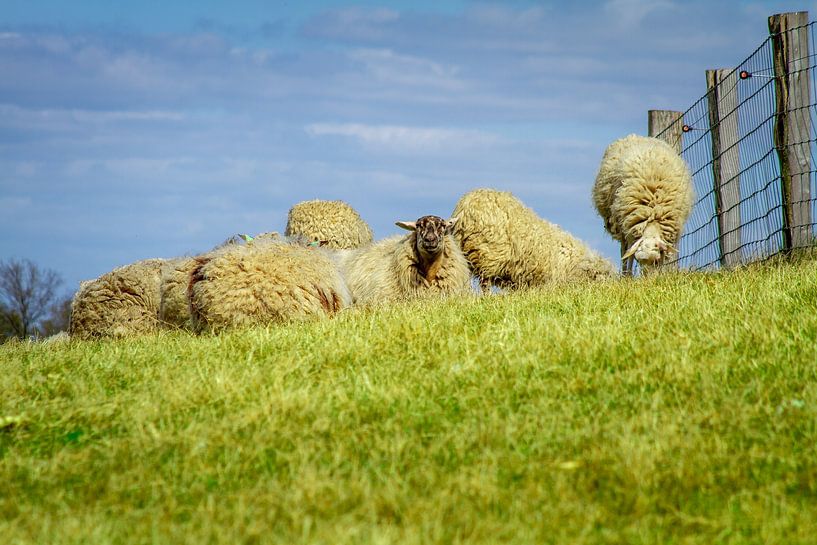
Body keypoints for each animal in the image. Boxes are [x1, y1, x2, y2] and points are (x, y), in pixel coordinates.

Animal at [592, 134, 694, 274]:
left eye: (655, 260)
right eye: (639, 261)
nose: (647, 277)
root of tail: (634, 135)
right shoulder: (629, 229)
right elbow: (628, 255)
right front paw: (628, 276)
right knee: (624, 251)